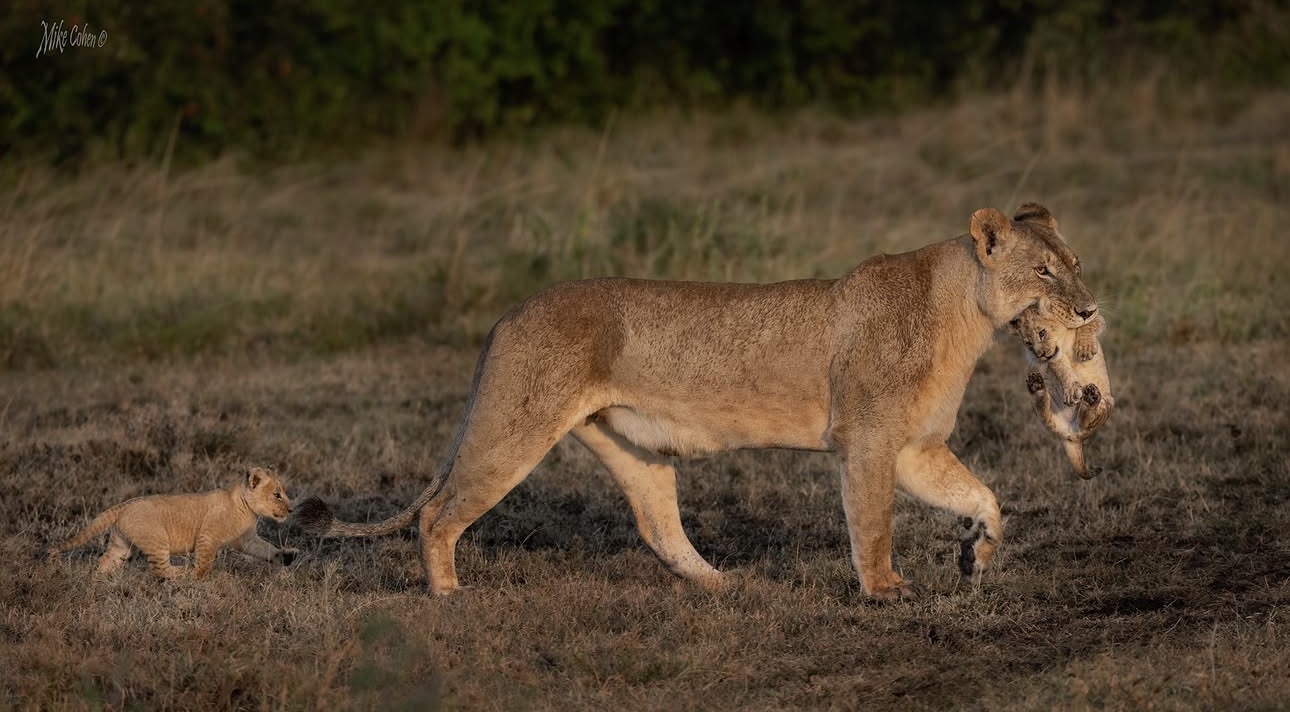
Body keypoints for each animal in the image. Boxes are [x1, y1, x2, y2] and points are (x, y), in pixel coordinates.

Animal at [48, 467, 298, 579]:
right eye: (277, 495)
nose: (292, 509)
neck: (245, 508)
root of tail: (124, 504)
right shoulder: (207, 537)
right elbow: (204, 564)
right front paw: (197, 576)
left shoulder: (247, 539)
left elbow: (267, 548)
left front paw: (286, 557)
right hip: (157, 540)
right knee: (160, 568)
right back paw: (182, 572)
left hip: (121, 544)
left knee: (105, 560)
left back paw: (98, 580)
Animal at [297, 202, 1098, 600]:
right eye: (1046, 272)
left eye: (1076, 264)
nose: (1089, 310)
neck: (966, 315)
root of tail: (506, 316)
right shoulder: (868, 440)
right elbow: (872, 524)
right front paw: (884, 591)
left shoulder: (913, 447)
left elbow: (985, 495)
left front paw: (976, 555)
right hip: (512, 429)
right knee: (436, 512)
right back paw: (447, 595)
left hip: (632, 448)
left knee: (659, 529)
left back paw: (724, 584)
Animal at [1010, 305, 1114, 478]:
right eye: (1028, 344)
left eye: (1042, 333)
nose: (1040, 355)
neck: (1063, 337)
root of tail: (1070, 435)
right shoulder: (1054, 358)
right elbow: (1061, 367)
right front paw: (1072, 389)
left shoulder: (1095, 319)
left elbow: (1091, 325)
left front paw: (1085, 349)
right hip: (1048, 415)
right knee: (1045, 408)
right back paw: (1037, 385)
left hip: (1108, 403)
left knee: (1088, 419)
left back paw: (1090, 396)